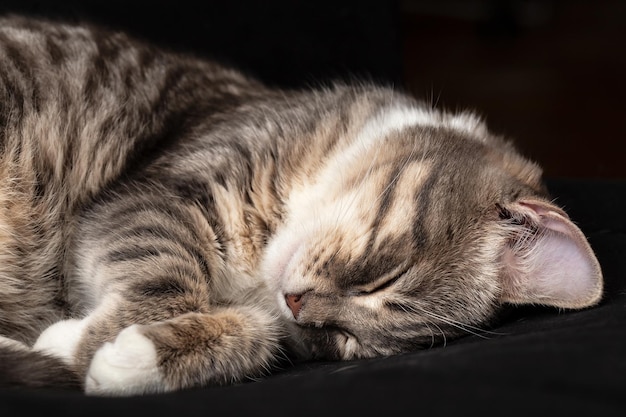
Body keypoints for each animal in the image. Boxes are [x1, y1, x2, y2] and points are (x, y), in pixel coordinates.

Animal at [0, 16, 604, 394]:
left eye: (345, 342)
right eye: (385, 275)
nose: (296, 305)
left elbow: (261, 337)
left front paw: (124, 357)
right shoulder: (160, 192)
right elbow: (165, 277)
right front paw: (73, 346)